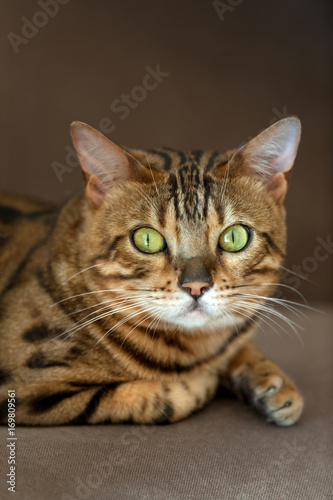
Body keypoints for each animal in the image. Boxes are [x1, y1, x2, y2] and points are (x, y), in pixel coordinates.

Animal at [0, 117, 304, 426]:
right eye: (147, 239)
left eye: (235, 237)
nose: (196, 286)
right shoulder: (26, 390)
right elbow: (154, 398)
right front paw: (202, 381)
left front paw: (272, 382)